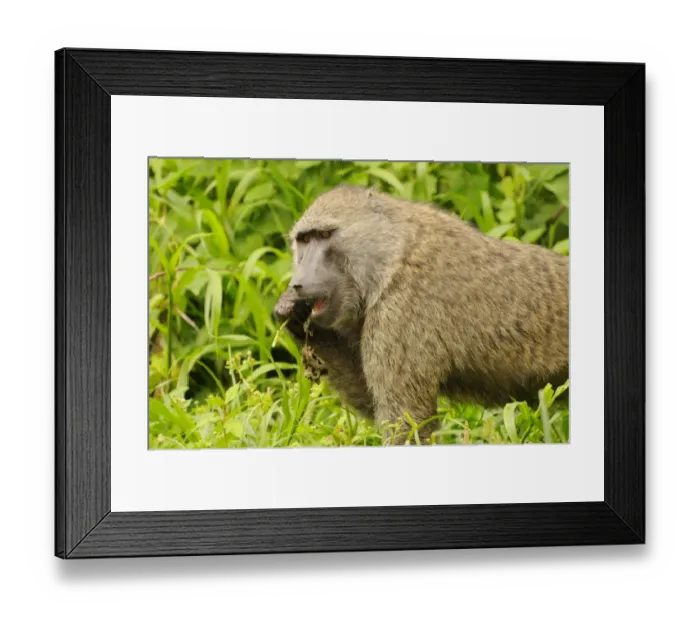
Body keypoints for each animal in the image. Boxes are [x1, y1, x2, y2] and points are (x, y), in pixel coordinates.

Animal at [274, 185, 569, 445]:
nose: (298, 283)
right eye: (304, 240)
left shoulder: (400, 313)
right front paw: (292, 314)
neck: (392, 254)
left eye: (324, 235)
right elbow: (372, 401)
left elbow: (406, 423)